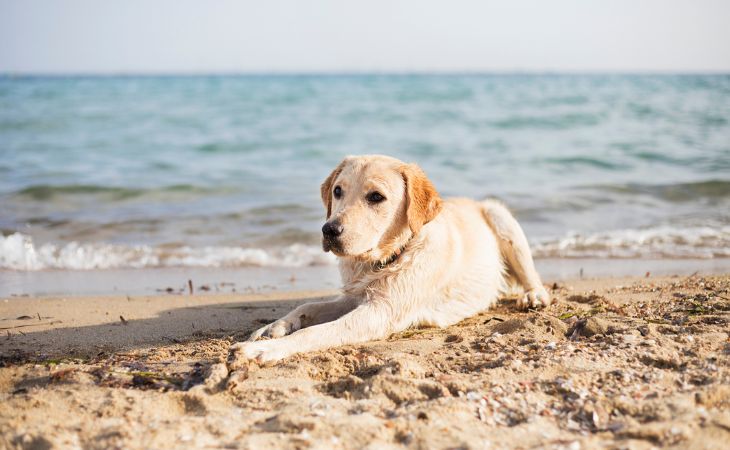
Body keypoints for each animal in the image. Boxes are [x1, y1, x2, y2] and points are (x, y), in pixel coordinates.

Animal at [228, 155, 544, 366]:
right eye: (337, 191)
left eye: (376, 197)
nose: (329, 230)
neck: (387, 257)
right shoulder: (355, 297)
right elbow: (308, 307)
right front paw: (272, 328)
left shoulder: (380, 311)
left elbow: (315, 333)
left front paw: (264, 350)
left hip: (500, 217)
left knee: (532, 276)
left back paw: (533, 296)